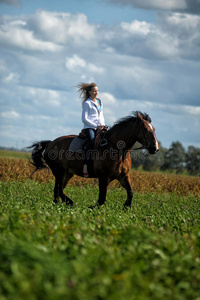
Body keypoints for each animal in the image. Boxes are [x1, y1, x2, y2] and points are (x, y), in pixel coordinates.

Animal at [28, 112, 159, 209]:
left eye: (154, 129)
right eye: (145, 128)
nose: (155, 148)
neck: (116, 149)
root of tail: (50, 143)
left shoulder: (123, 176)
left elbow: (130, 192)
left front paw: (126, 207)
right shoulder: (104, 177)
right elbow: (102, 198)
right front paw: (91, 208)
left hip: (67, 173)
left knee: (58, 190)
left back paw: (58, 205)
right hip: (59, 171)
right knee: (60, 190)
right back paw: (71, 203)